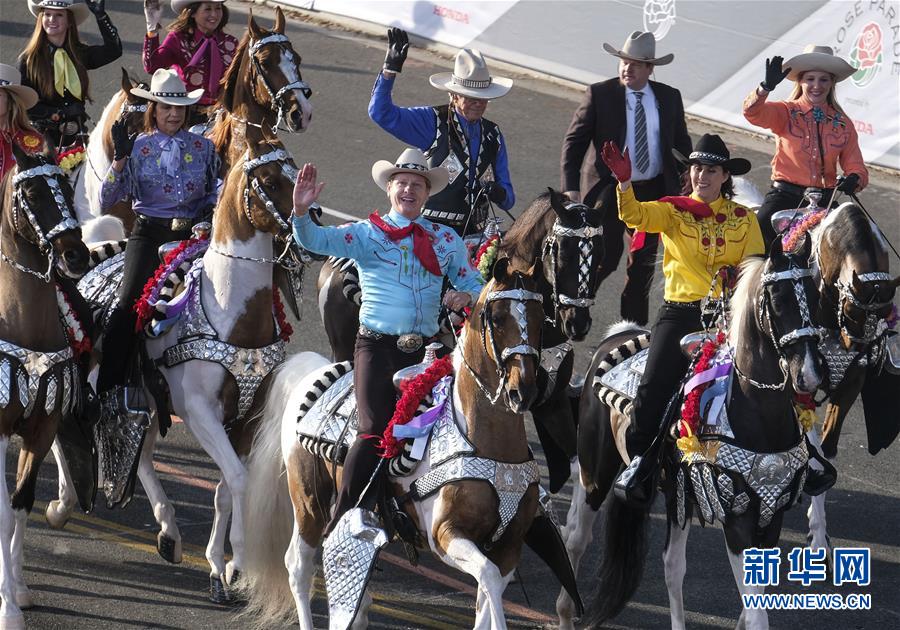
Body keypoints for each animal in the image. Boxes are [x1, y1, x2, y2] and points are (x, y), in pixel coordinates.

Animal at [239, 258, 544, 630]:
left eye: (541, 316)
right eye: (498, 318)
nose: (522, 391)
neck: (482, 439)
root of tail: (311, 375)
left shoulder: (509, 545)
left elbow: (490, 591)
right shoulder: (444, 535)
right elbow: (487, 578)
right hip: (308, 502)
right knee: (298, 565)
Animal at [568, 237, 828, 630]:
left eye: (814, 296)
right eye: (778, 300)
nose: (810, 374)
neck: (755, 413)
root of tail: (617, 337)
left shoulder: (771, 514)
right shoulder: (737, 518)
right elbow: (756, 611)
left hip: (679, 496)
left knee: (672, 566)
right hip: (595, 473)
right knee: (577, 538)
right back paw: (565, 612)